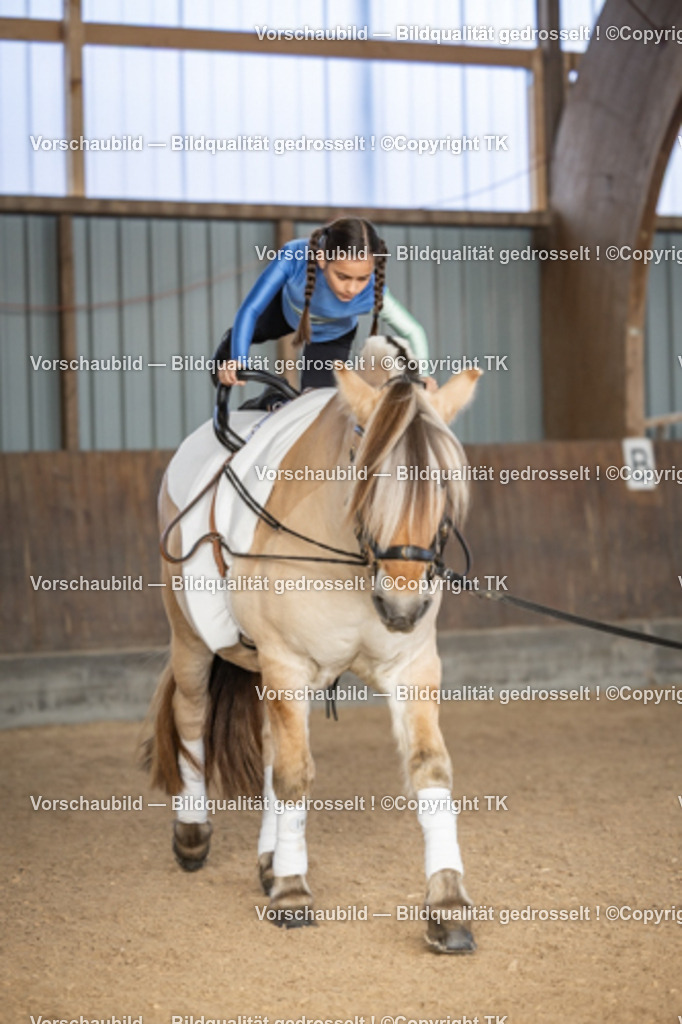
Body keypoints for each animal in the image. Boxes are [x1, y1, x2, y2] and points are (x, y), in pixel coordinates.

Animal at [143, 336, 482, 953]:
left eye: (445, 485)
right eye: (365, 474)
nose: (401, 608)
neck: (348, 557)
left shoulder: (412, 666)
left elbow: (429, 769)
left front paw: (447, 904)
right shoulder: (287, 661)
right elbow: (295, 775)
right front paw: (293, 894)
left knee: (270, 748)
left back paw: (269, 858)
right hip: (192, 639)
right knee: (191, 715)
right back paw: (193, 834)